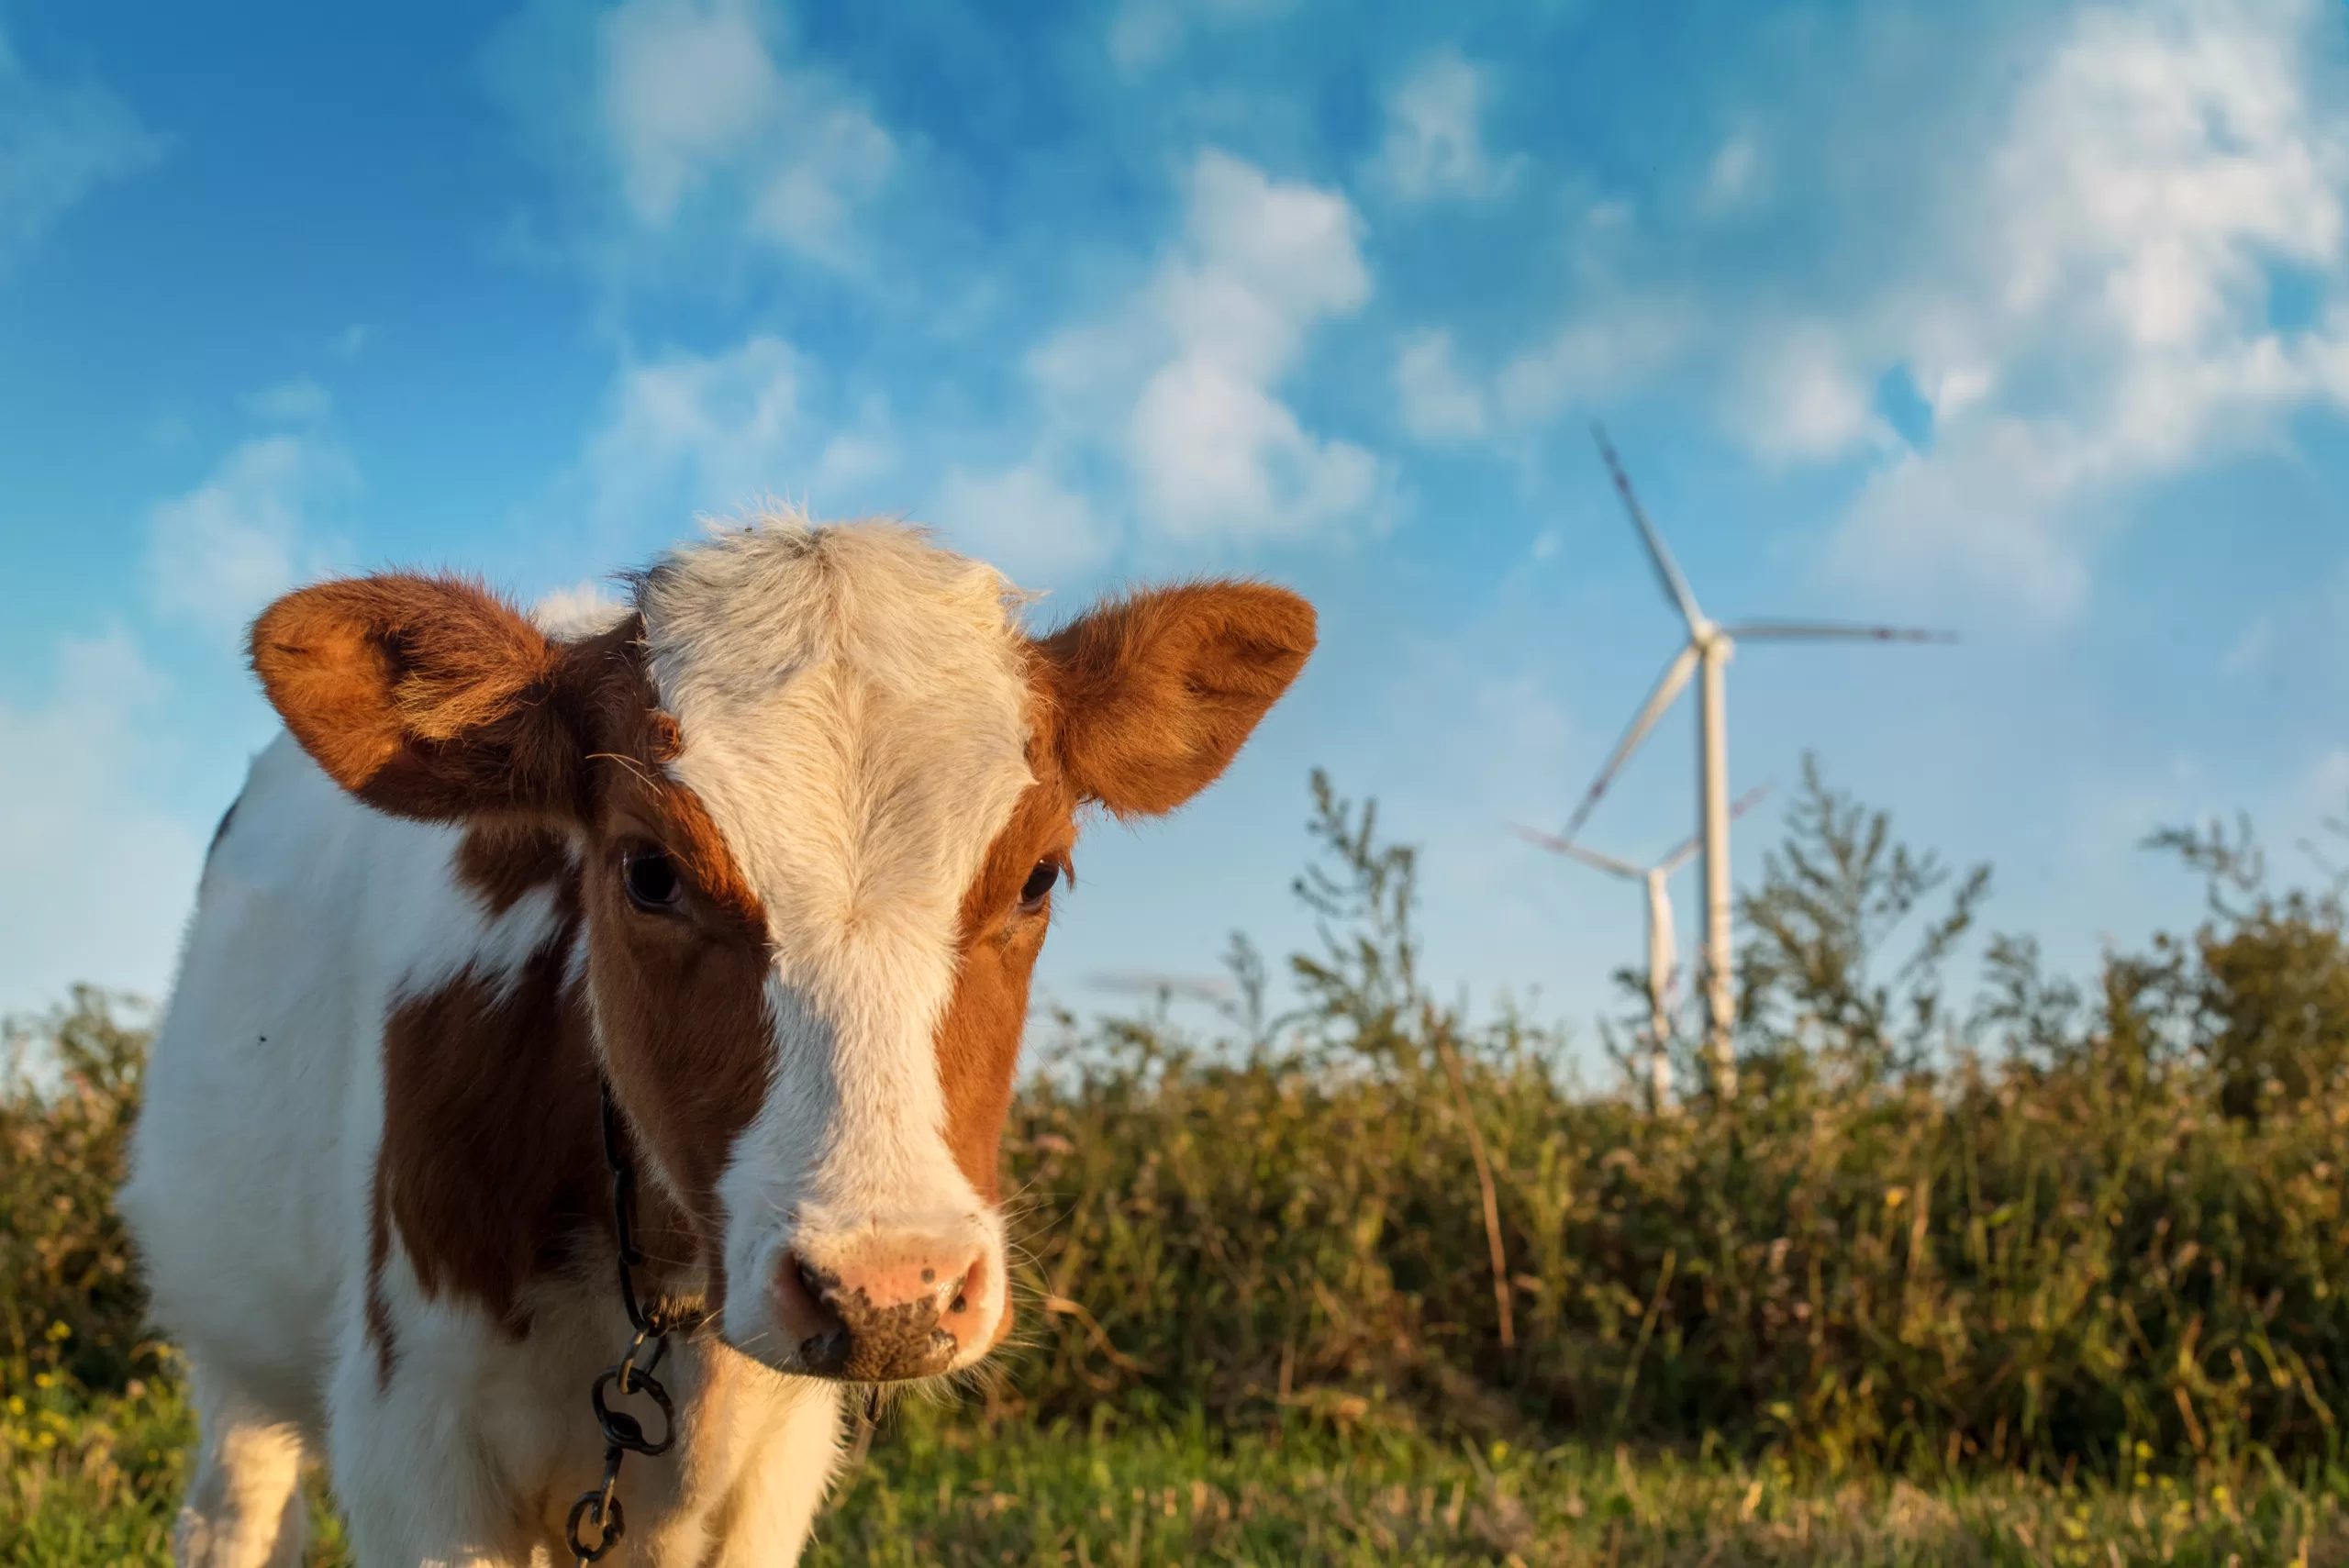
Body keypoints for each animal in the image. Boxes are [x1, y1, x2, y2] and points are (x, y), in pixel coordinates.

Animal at [118, 523, 1315, 1568]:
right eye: (649, 871)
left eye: (1037, 874)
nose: (891, 1289)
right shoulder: (415, 1438)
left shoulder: (767, 1473)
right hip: (229, 1343)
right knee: (236, 1511)